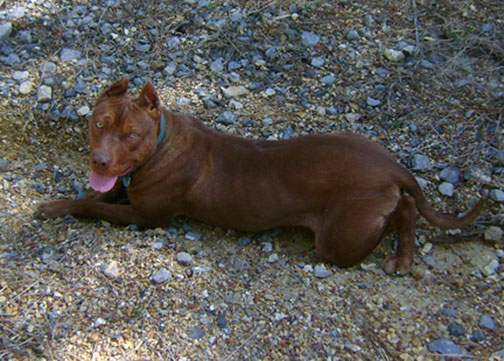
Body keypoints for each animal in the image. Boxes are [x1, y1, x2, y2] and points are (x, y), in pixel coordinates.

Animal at [37, 79, 486, 272]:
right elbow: (93, 196)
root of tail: (392, 165)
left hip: (339, 237)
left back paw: (400, 254)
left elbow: (93, 206)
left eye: (131, 135)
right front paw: (56, 203)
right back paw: (405, 254)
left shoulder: (144, 216)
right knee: (406, 208)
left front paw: (64, 207)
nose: (99, 161)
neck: (161, 141)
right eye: (98, 123)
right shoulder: (125, 189)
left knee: (399, 213)